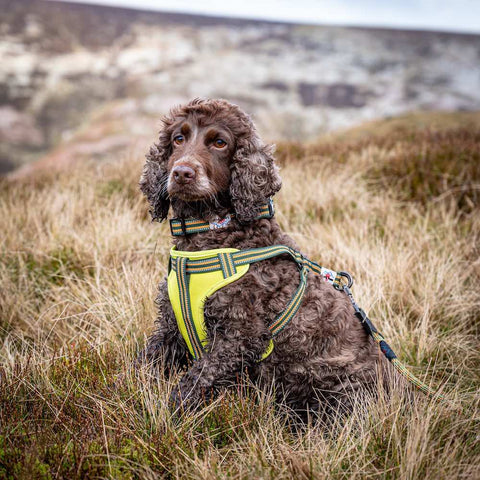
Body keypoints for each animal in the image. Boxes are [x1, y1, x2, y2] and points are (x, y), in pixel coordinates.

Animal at [139, 97, 386, 420]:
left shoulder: (238, 337)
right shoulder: (170, 327)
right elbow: (144, 365)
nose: (181, 173)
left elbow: (194, 381)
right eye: (178, 139)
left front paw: (168, 415)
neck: (212, 235)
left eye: (220, 142)